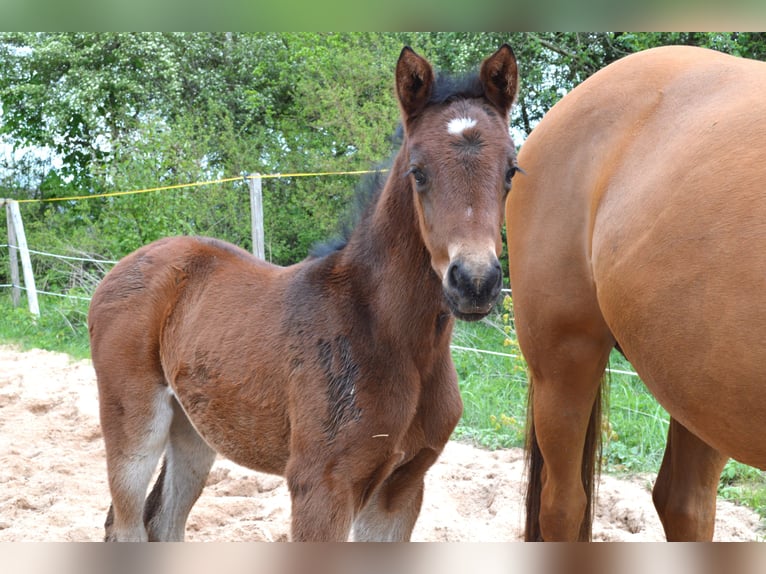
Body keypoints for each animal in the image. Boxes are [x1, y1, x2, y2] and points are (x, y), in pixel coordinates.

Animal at [88, 46, 520, 544]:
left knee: (163, 521)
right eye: (418, 172)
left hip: (193, 429)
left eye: (511, 171)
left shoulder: (403, 488)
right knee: (127, 524)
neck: (388, 337)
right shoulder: (321, 485)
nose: (474, 282)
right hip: (135, 426)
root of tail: (121, 267)